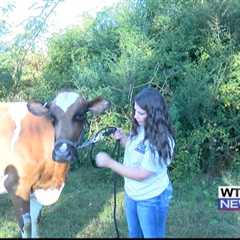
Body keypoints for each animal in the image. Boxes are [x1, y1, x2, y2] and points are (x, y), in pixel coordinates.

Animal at [0, 90, 110, 238]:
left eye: (80, 115)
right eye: (52, 117)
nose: (61, 152)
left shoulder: (38, 189)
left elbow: (36, 220)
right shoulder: (16, 187)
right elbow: (26, 224)